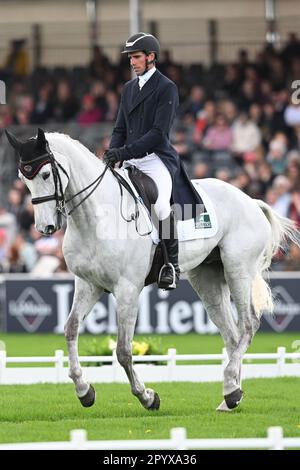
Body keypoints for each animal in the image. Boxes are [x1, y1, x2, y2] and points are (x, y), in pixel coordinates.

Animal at [5, 129, 300, 412]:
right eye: (22, 178)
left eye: (45, 174)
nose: (45, 228)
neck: (96, 218)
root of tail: (250, 200)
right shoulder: (88, 284)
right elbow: (71, 329)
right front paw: (84, 390)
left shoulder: (127, 288)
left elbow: (123, 350)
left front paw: (147, 397)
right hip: (207, 278)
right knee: (232, 335)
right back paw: (230, 397)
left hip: (238, 270)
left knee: (248, 324)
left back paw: (231, 391)